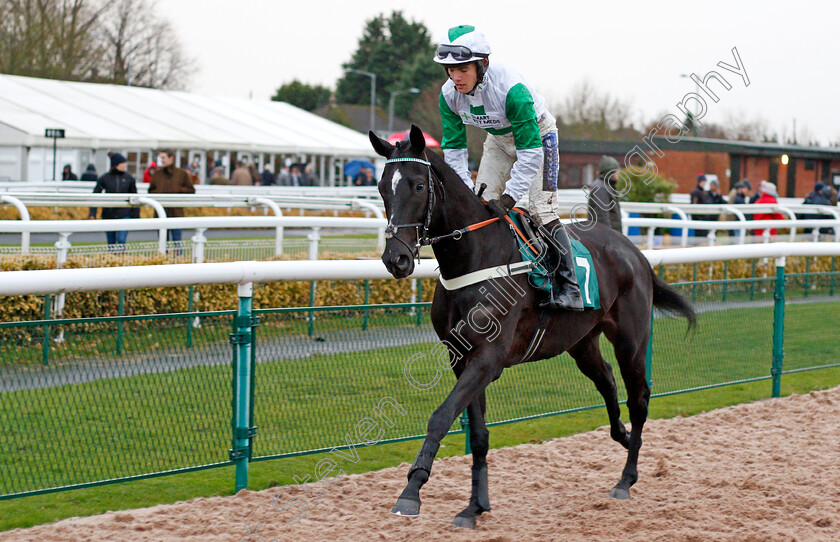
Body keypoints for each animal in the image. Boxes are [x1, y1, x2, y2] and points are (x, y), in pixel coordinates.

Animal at [372, 125, 696, 528]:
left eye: (417, 185)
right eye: (382, 187)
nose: (396, 259)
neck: (474, 259)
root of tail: (634, 252)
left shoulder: (487, 360)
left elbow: (441, 416)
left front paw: (412, 491)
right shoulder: (461, 359)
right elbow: (478, 434)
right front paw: (475, 507)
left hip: (632, 340)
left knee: (639, 398)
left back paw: (626, 478)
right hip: (581, 341)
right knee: (605, 377)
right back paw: (619, 434)